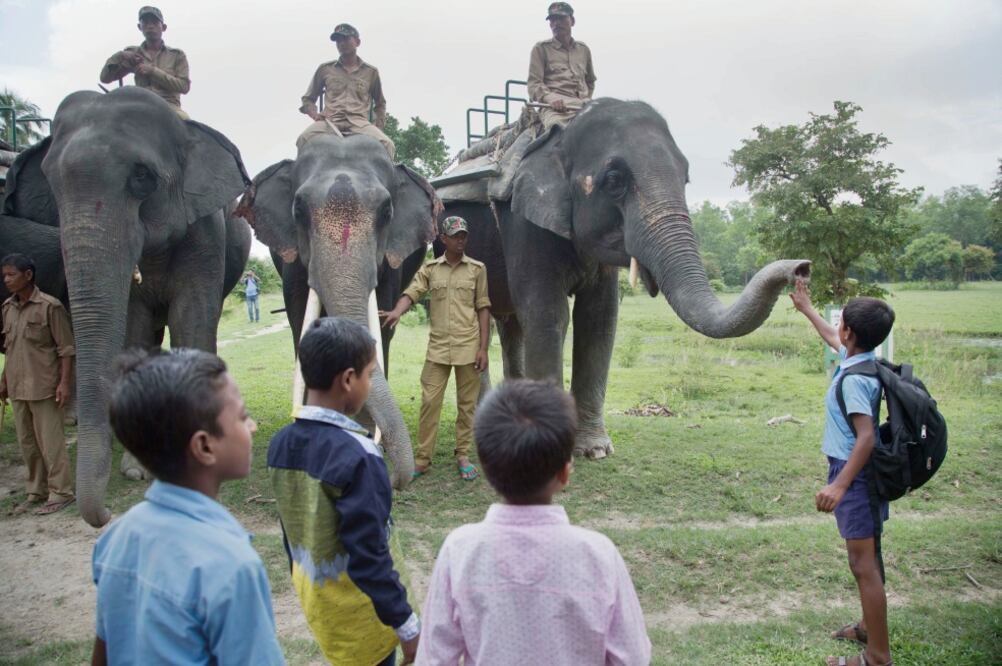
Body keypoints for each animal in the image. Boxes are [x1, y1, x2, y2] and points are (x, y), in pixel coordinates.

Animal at [3, 86, 253, 526]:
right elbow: (133, 327)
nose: (106, 515)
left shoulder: (206, 231)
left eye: (142, 177)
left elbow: (192, 318)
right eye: (52, 184)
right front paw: (138, 469)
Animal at [238, 133, 439, 489]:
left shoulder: (389, 265)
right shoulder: (293, 264)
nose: (397, 480)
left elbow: (381, 331)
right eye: (298, 210)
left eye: (387, 211)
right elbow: (300, 323)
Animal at [442, 98, 810, 457]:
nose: (801, 268)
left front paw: (595, 450)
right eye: (614, 181)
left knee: (510, 324)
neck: (561, 135)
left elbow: (599, 318)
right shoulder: (523, 223)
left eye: (686, 179)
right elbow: (548, 315)